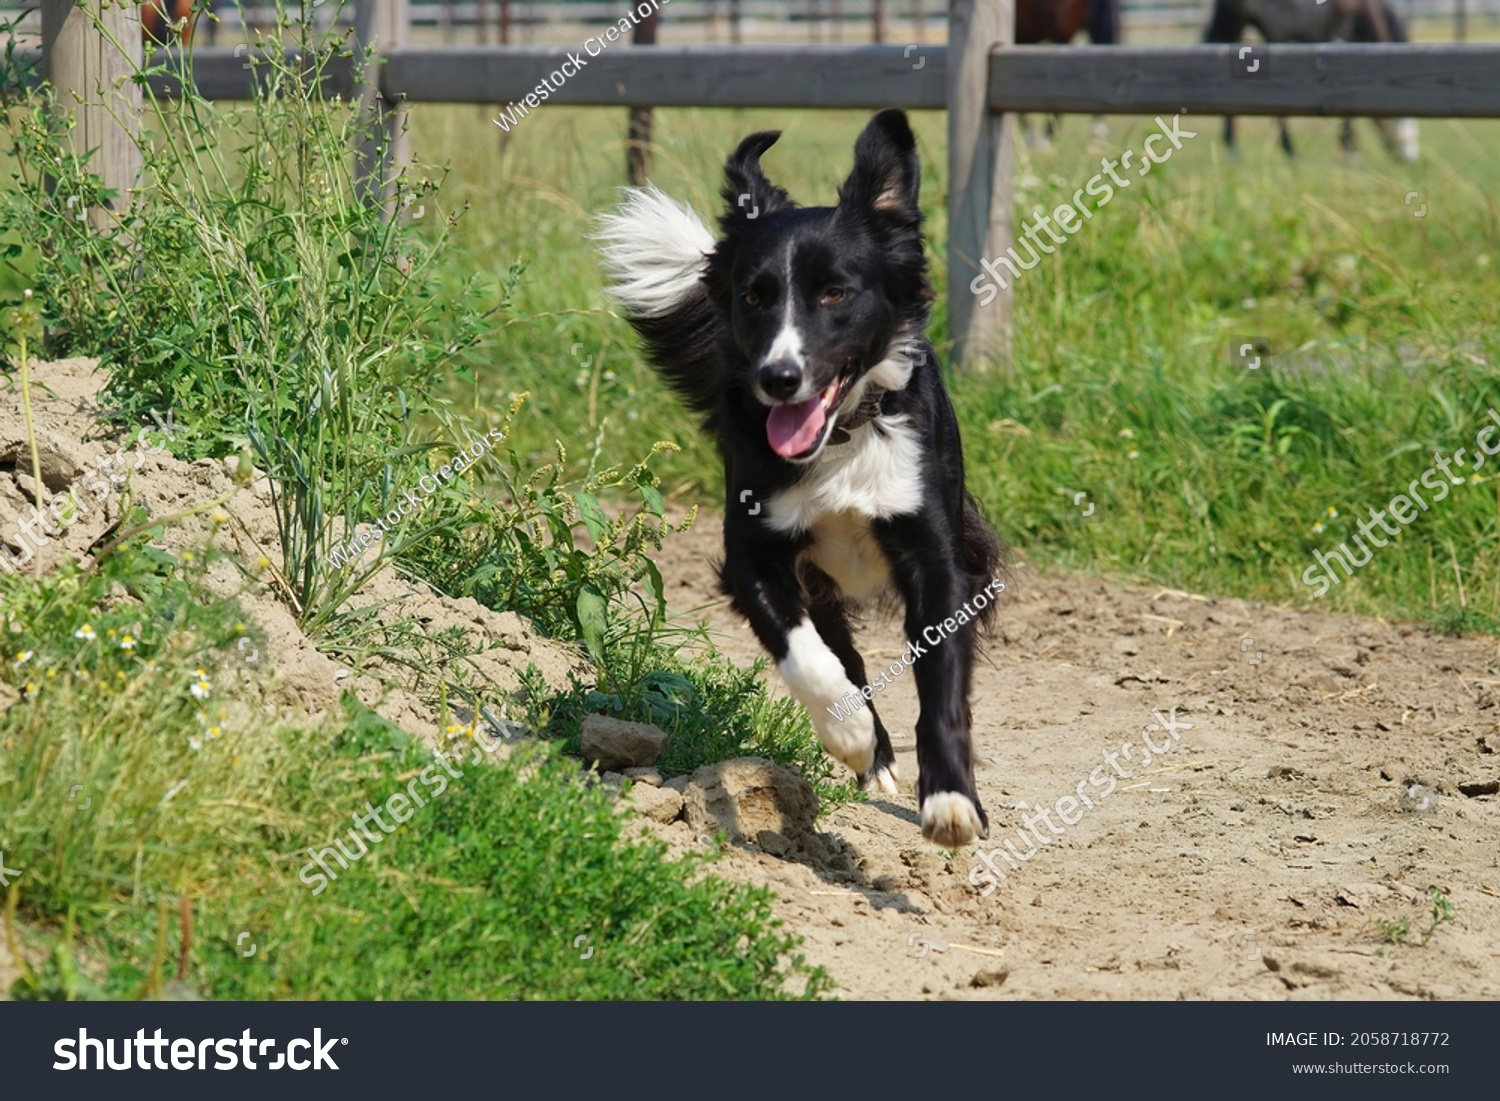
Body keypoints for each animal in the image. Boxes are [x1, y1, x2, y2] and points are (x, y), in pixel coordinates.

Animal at [591, 110, 1002, 846]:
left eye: (835, 292)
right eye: (754, 297)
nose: (778, 378)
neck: (841, 439)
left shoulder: (937, 560)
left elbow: (942, 688)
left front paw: (952, 799)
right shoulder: (753, 556)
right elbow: (808, 659)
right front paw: (853, 737)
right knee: (844, 656)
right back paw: (873, 754)